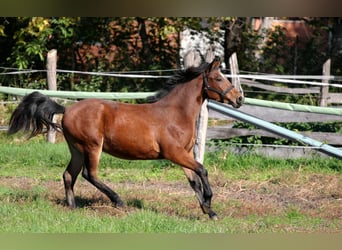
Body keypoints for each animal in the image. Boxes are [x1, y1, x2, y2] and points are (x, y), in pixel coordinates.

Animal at [8, 56, 243, 219]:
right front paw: (209, 203)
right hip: (92, 146)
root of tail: (66, 110)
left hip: (76, 149)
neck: (175, 113)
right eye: (218, 78)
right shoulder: (174, 153)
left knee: (69, 175)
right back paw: (118, 201)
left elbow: (194, 181)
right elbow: (202, 171)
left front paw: (209, 211)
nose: (239, 99)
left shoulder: (184, 154)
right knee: (89, 174)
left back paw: (72, 207)